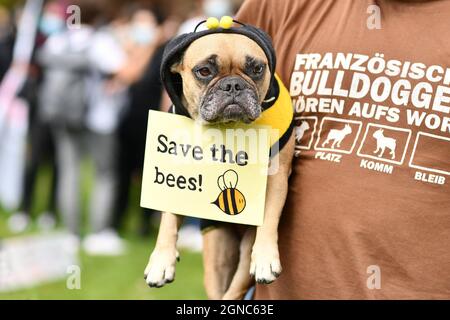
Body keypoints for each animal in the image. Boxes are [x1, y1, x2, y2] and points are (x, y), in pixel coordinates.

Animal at [142, 25, 294, 300]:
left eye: (257, 69)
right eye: (204, 71)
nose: (233, 85)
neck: (226, 128)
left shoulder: (276, 179)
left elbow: (269, 217)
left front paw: (266, 257)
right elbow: (168, 221)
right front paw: (161, 260)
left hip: (242, 255)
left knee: (236, 288)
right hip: (217, 254)